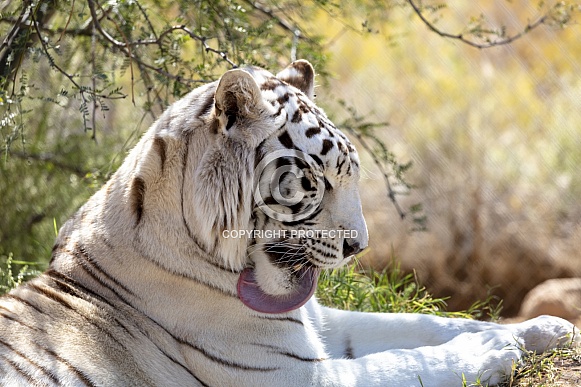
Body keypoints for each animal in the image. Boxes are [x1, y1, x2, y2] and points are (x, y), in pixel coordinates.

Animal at [0, 60, 576, 387]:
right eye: (315, 181)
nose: (360, 247)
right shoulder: (301, 375)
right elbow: (404, 362)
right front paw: (494, 351)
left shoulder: (319, 324)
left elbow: (426, 324)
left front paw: (547, 329)